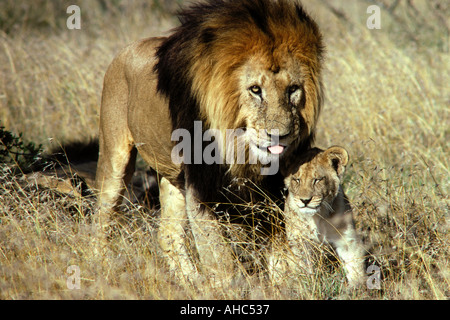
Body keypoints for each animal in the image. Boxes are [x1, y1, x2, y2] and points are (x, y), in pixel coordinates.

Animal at [96, 0, 324, 280]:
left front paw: (285, 283)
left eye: (293, 89)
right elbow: (218, 257)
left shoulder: (272, 191)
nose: (279, 135)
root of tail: (126, 49)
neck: (240, 148)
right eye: (255, 90)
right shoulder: (201, 183)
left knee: (168, 236)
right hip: (114, 158)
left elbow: (282, 252)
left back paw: (190, 281)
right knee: (101, 221)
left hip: (173, 179)